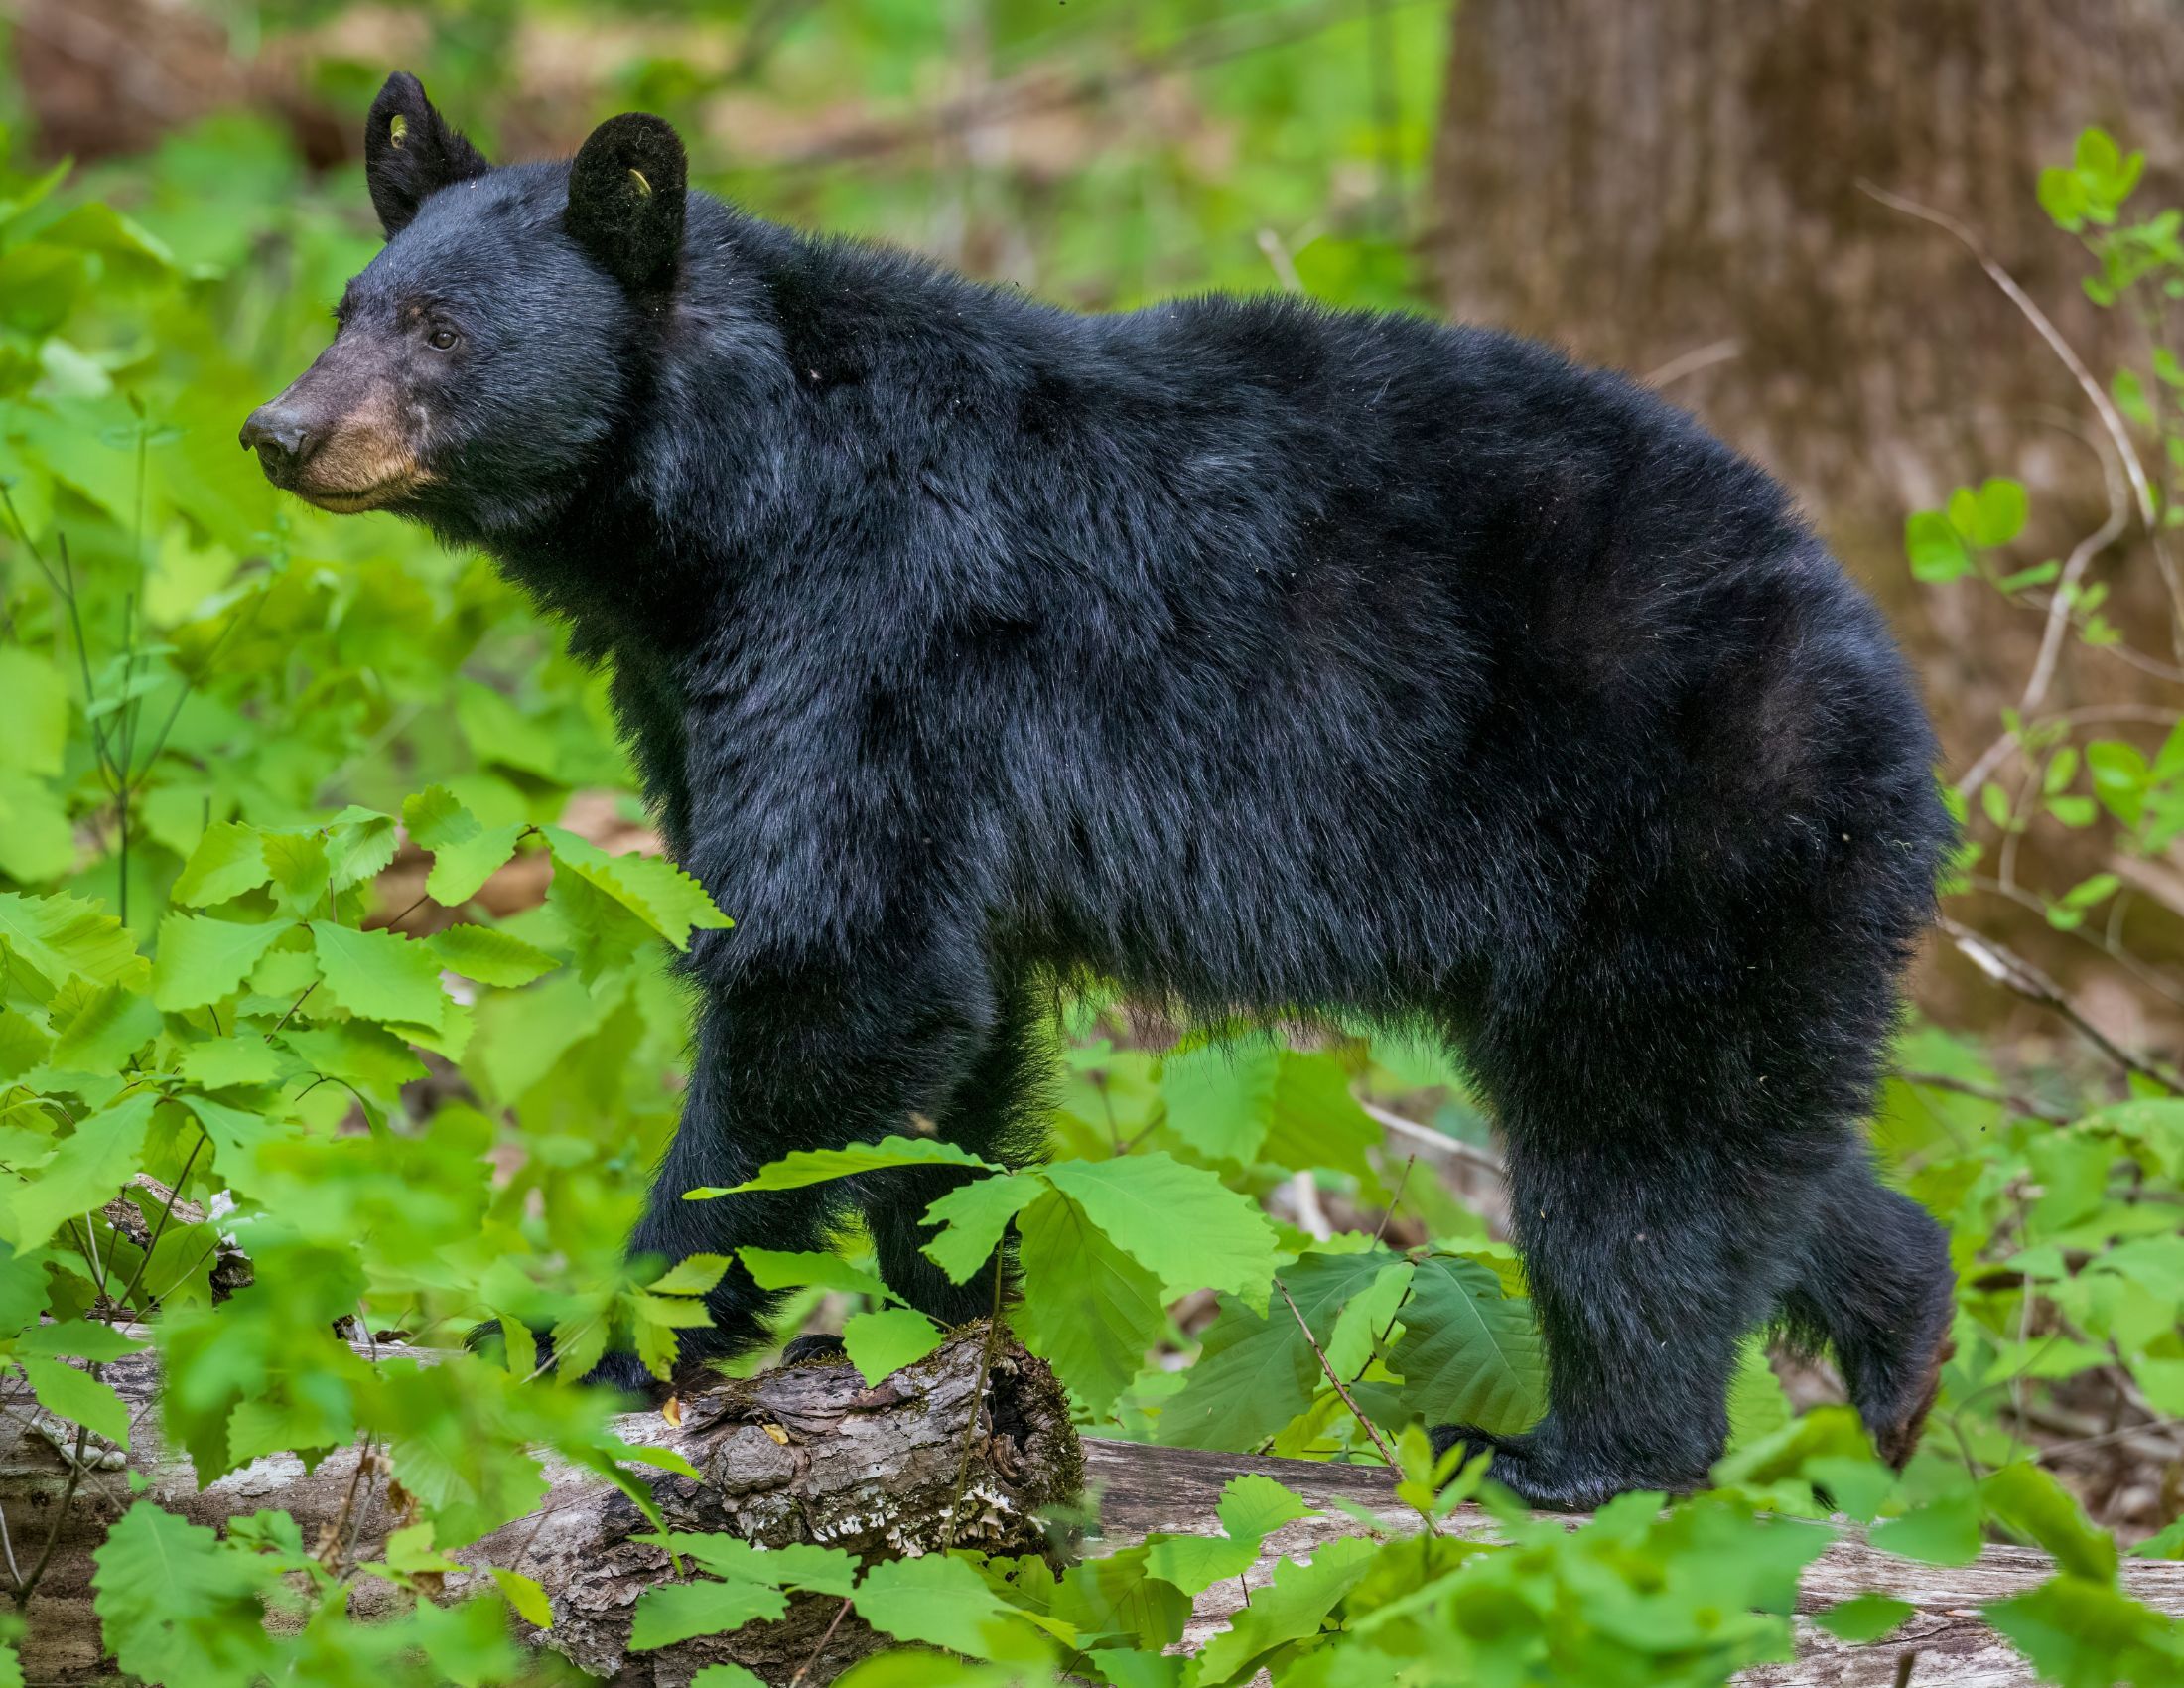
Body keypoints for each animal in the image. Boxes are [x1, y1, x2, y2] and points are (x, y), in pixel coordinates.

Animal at [240, 72, 1958, 1511]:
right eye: (347, 306)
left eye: (442, 332)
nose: (281, 429)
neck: (733, 499)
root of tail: (1877, 665)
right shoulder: (717, 695)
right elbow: (949, 1033)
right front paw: (945, 1325)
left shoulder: (865, 636)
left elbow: (830, 968)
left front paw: (593, 1341)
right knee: (1758, 1143)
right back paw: (1907, 1345)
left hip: (1682, 827)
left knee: (1639, 1173)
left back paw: (1581, 1452)